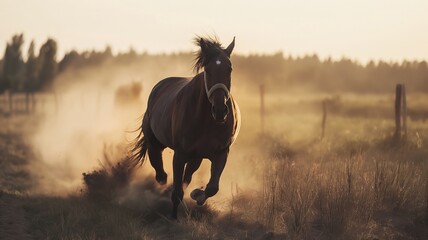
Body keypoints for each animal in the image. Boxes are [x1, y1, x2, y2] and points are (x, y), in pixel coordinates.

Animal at [130, 36, 241, 218]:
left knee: (187, 175)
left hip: (196, 157)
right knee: (157, 162)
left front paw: (197, 195)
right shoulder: (180, 154)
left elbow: (212, 187)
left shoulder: (221, 153)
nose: (220, 111)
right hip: (155, 142)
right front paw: (174, 217)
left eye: (229, 68)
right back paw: (162, 180)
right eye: (207, 69)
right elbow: (177, 192)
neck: (208, 121)